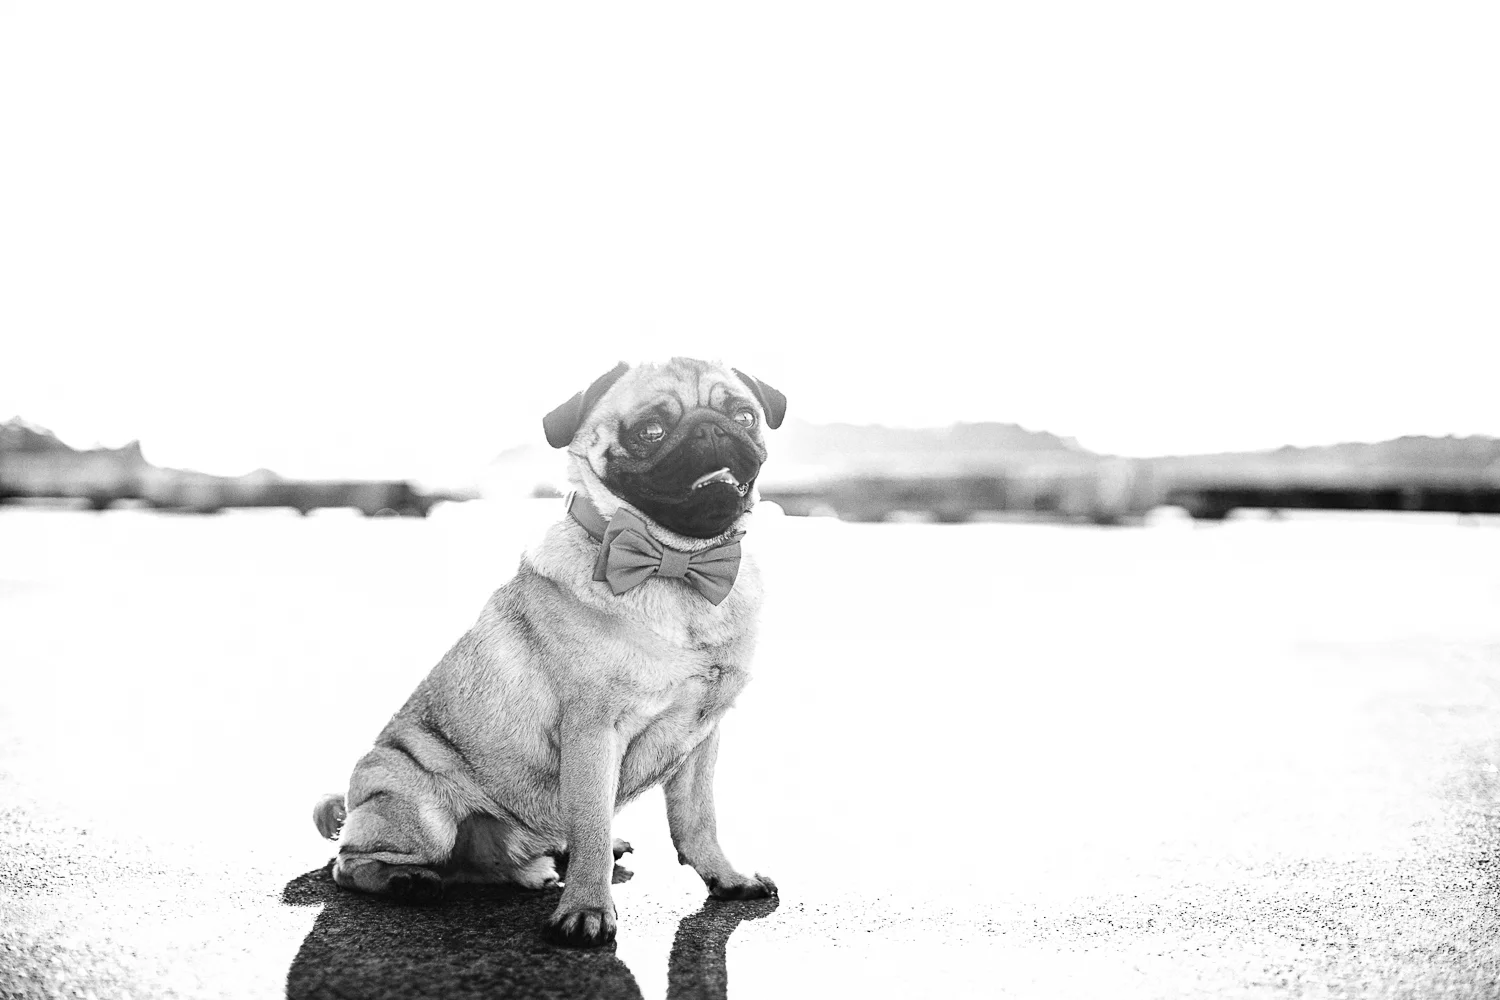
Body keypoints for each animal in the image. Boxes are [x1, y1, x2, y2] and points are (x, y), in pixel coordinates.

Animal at [312, 357, 787, 948]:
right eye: (650, 431)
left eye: (744, 416)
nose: (711, 429)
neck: (675, 564)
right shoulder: (592, 731)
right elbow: (592, 827)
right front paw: (586, 910)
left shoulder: (702, 734)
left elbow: (698, 822)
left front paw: (726, 878)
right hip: (420, 810)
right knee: (349, 864)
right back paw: (408, 881)